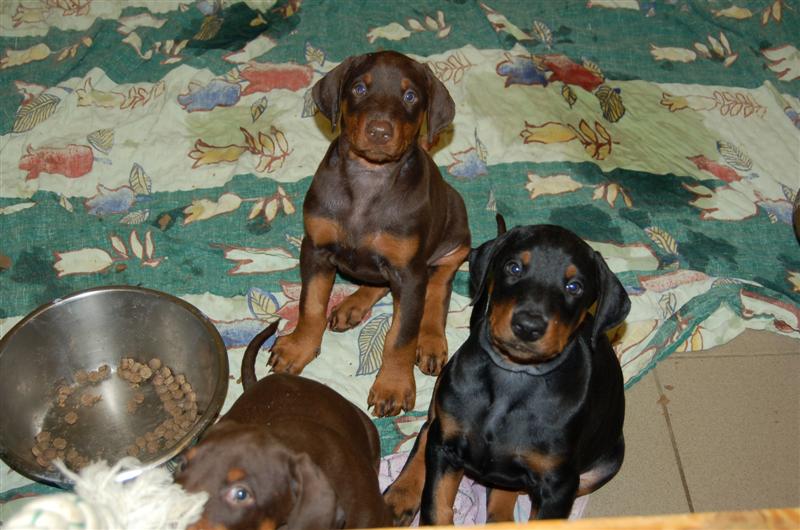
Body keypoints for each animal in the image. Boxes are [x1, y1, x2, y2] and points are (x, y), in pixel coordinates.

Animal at [268, 51, 471, 417]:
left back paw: (431, 340)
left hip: (456, 229)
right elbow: (311, 304)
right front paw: (298, 348)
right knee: (378, 282)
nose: (379, 132)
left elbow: (401, 335)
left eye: (410, 96)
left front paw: (393, 385)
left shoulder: (410, 272)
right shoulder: (315, 249)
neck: (369, 179)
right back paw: (352, 305)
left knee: (438, 289)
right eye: (359, 88)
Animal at [383, 219, 631, 524]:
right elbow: (436, 506)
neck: (514, 376)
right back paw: (400, 495)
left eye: (575, 286)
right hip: (442, 411)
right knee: (427, 432)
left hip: (605, 464)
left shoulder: (559, 485)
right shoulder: (446, 447)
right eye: (513, 268)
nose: (527, 326)